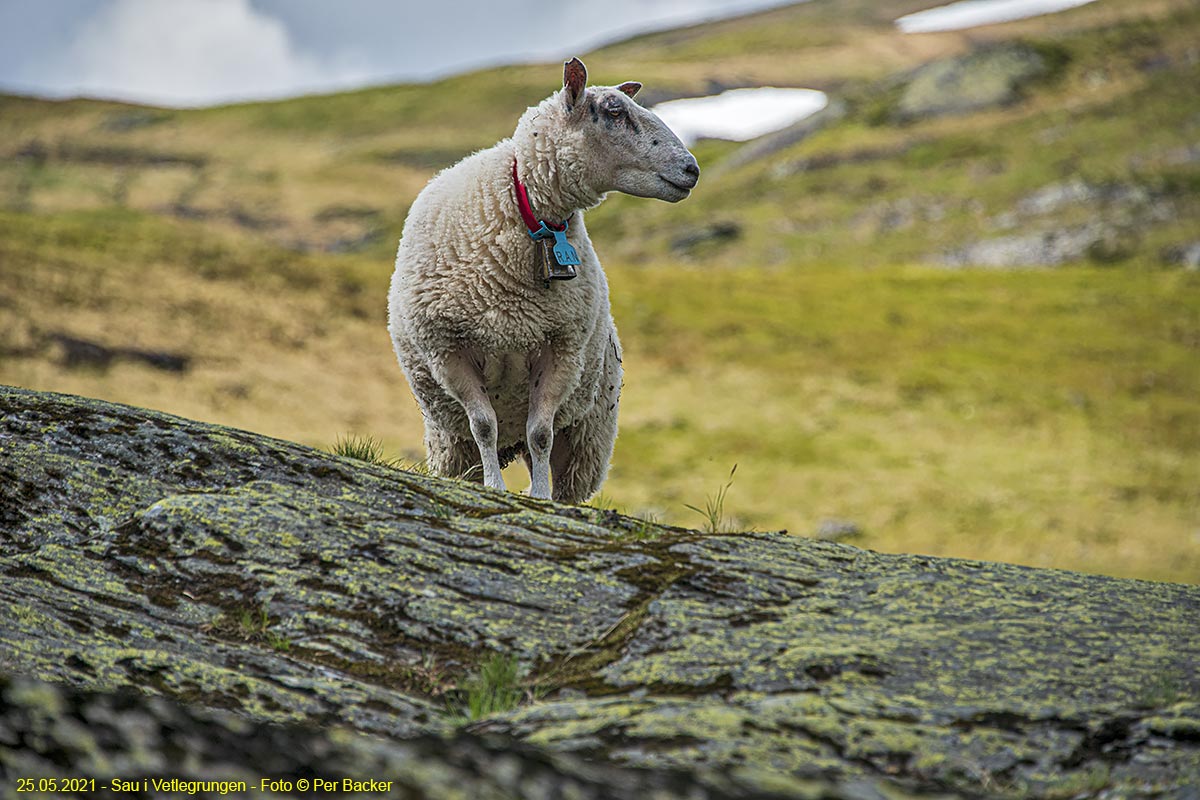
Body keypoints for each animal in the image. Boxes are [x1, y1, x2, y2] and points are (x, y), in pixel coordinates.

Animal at [388, 59, 700, 503]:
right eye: (614, 111)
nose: (692, 169)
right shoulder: (448, 351)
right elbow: (483, 425)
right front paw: (495, 487)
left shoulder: (562, 351)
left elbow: (540, 434)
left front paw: (538, 496)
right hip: (449, 439)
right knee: (475, 448)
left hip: (587, 432)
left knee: (556, 464)